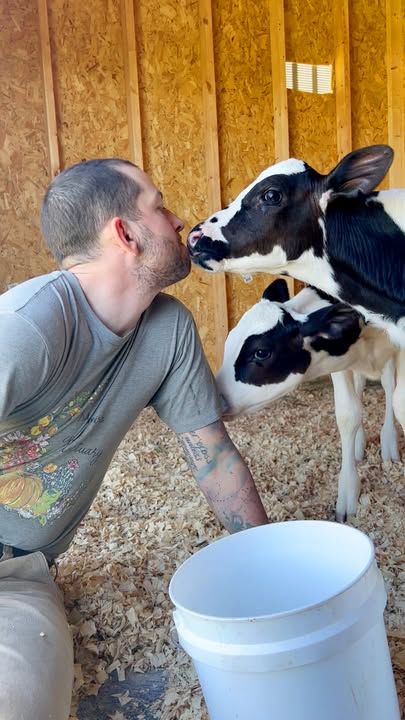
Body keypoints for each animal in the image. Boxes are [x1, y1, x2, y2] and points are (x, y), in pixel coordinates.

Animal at [216, 282, 402, 524]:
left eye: (261, 352)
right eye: (229, 340)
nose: (216, 398)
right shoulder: (340, 361)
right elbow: (348, 414)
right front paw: (348, 490)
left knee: (388, 386)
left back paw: (389, 442)